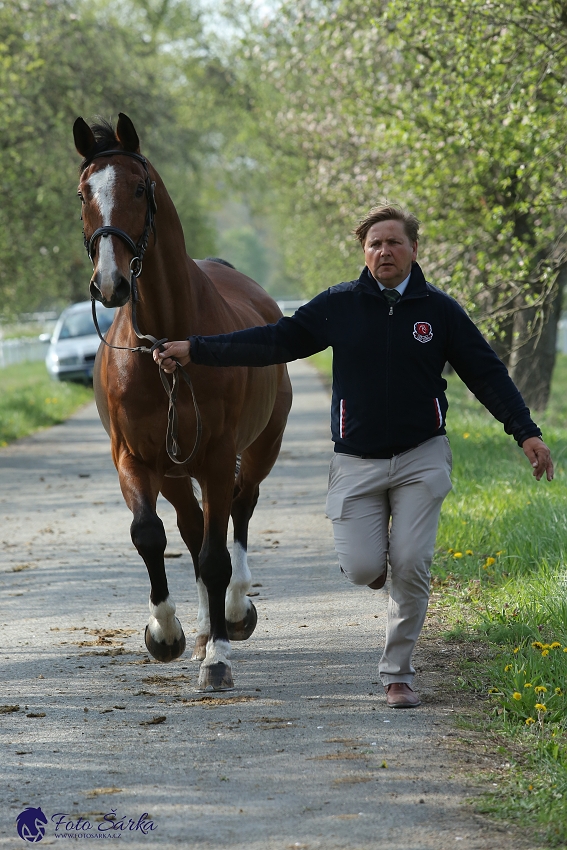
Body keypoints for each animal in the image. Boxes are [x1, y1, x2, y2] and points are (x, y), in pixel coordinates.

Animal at [72, 114, 292, 688]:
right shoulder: (134, 458)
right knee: (192, 532)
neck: (165, 345)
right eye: (83, 192)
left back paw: (232, 615)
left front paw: (218, 659)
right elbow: (150, 536)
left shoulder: (216, 456)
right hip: (174, 471)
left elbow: (217, 555)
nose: (110, 283)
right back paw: (201, 631)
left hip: (259, 448)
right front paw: (165, 634)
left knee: (239, 509)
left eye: (138, 188)